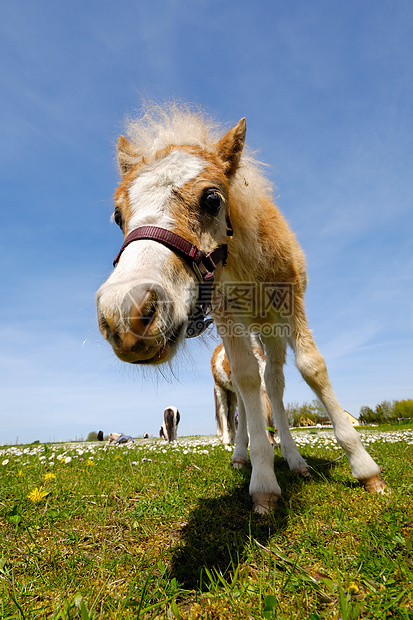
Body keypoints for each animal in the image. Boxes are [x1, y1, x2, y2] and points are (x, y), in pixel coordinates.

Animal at [96, 103, 386, 512]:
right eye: (118, 216)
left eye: (212, 199)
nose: (126, 316)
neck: (248, 266)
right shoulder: (226, 314)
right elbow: (247, 379)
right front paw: (263, 482)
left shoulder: (291, 303)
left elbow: (312, 367)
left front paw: (365, 468)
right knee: (250, 391)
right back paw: (242, 455)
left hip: (271, 330)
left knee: (275, 385)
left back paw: (296, 461)